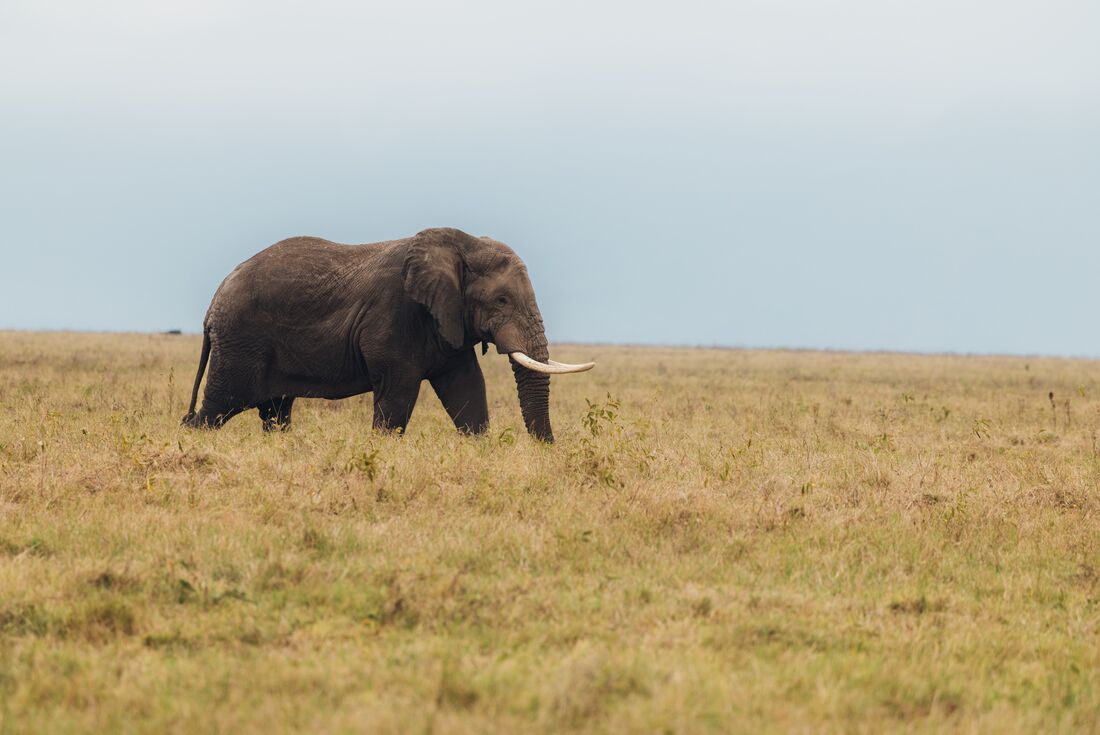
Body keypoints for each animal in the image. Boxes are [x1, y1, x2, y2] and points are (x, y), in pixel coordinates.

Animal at [180, 227, 593, 442]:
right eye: (501, 300)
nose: (546, 449)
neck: (461, 243)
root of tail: (213, 302)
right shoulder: (395, 316)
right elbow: (398, 394)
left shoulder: (449, 320)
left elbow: (467, 387)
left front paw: (478, 445)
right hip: (240, 342)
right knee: (218, 406)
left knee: (276, 412)